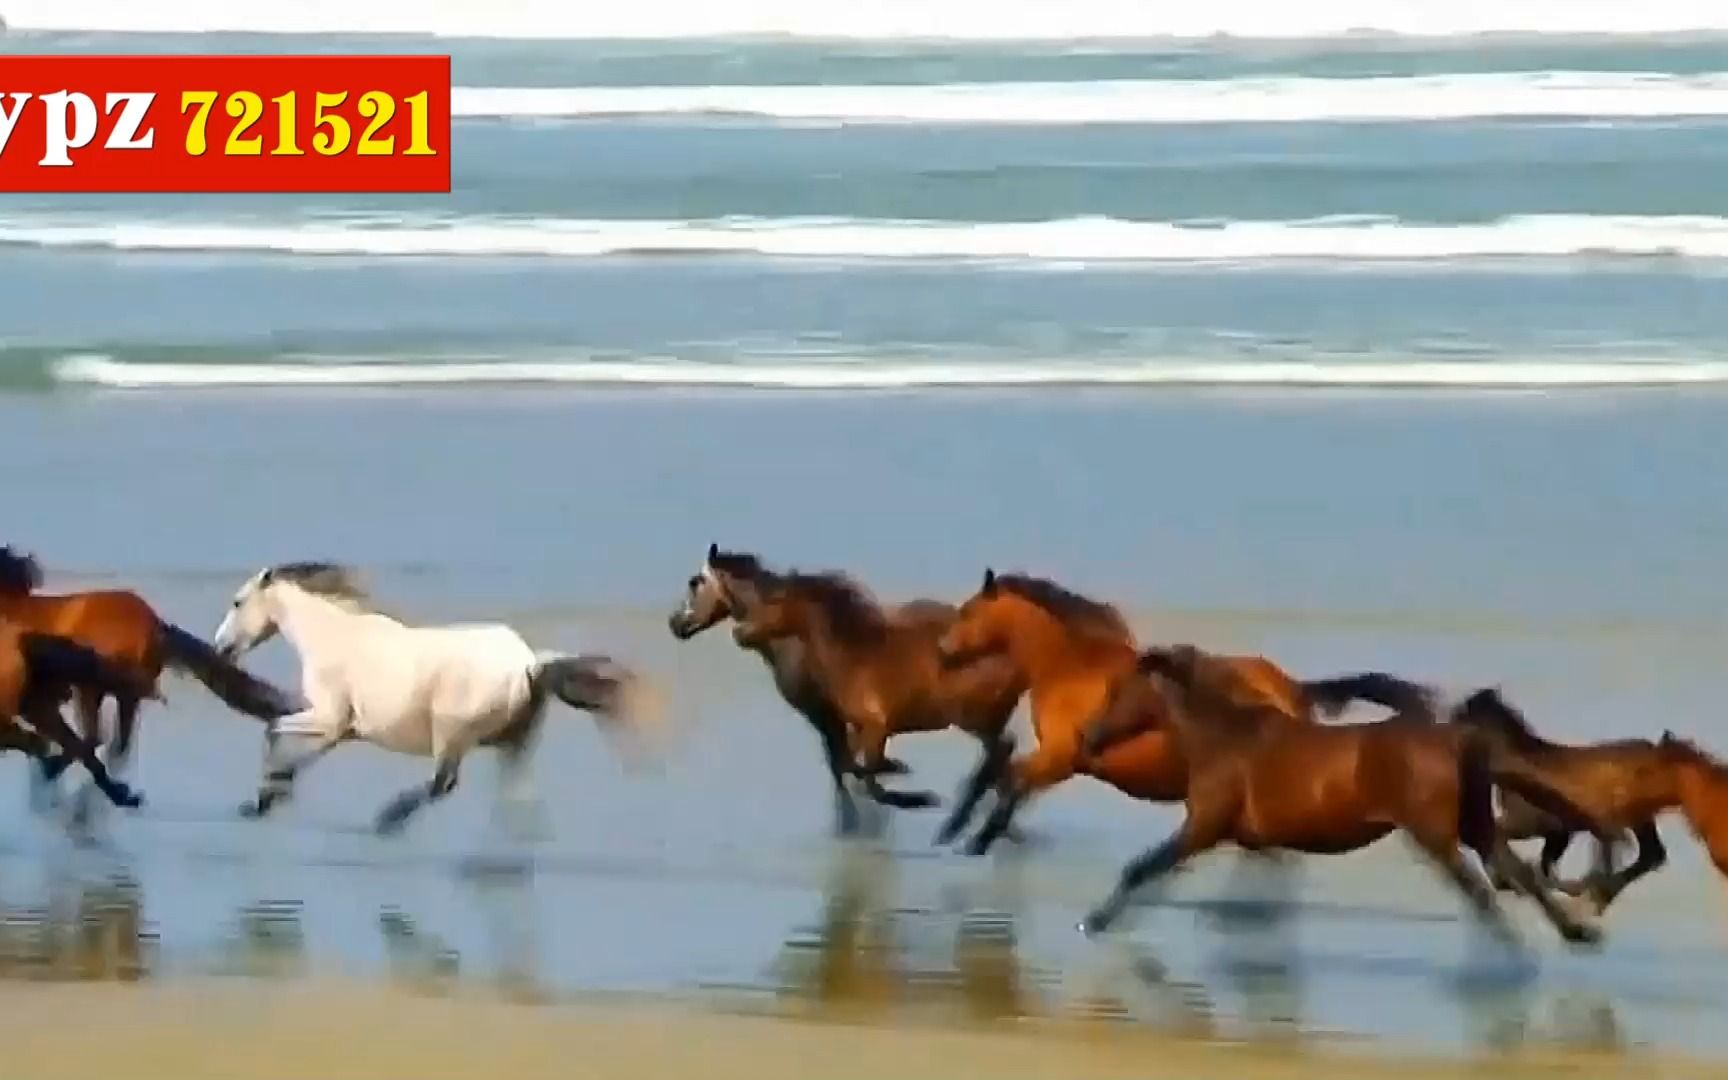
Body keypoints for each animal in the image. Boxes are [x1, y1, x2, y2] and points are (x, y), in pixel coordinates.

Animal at [211, 561, 663, 836]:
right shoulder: (340, 730)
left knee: (443, 783)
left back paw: (389, 820)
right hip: (514, 742)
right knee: (509, 794)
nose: (220, 647)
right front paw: (272, 793)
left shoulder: (327, 717)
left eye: (237, 601)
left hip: (450, 735)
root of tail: (529, 664)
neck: (333, 638)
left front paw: (265, 796)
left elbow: (272, 729)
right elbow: (301, 750)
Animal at [669, 544, 1027, 839]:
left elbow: (856, 771)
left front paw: (903, 797)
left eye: (695, 582)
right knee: (1004, 763)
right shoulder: (844, 722)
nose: (675, 623)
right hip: (980, 720)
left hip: (973, 717)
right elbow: (847, 768)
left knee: (1002, 755)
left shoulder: (848, 720)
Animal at [932, 568, 1403, 856]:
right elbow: (1001, 775)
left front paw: (974, 837)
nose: (942, 653)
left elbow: (1009, 779)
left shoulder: (1061, 759)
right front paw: (962, 830)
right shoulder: (1060, 759)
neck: (1073, 666)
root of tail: (1290, 690)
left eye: (968, 611)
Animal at [1076, 644, 1608, 949]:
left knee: (1481, 890)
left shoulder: (1202, 827)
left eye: (1118, 690)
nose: (1087, 735)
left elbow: (1142, 867)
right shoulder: (1243, 839)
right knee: (1518, 875)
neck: (1222, 737)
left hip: (1436, 835)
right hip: (1474, 826)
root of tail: (1457, 738)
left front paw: (1095, 921)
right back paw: (1577, 934)